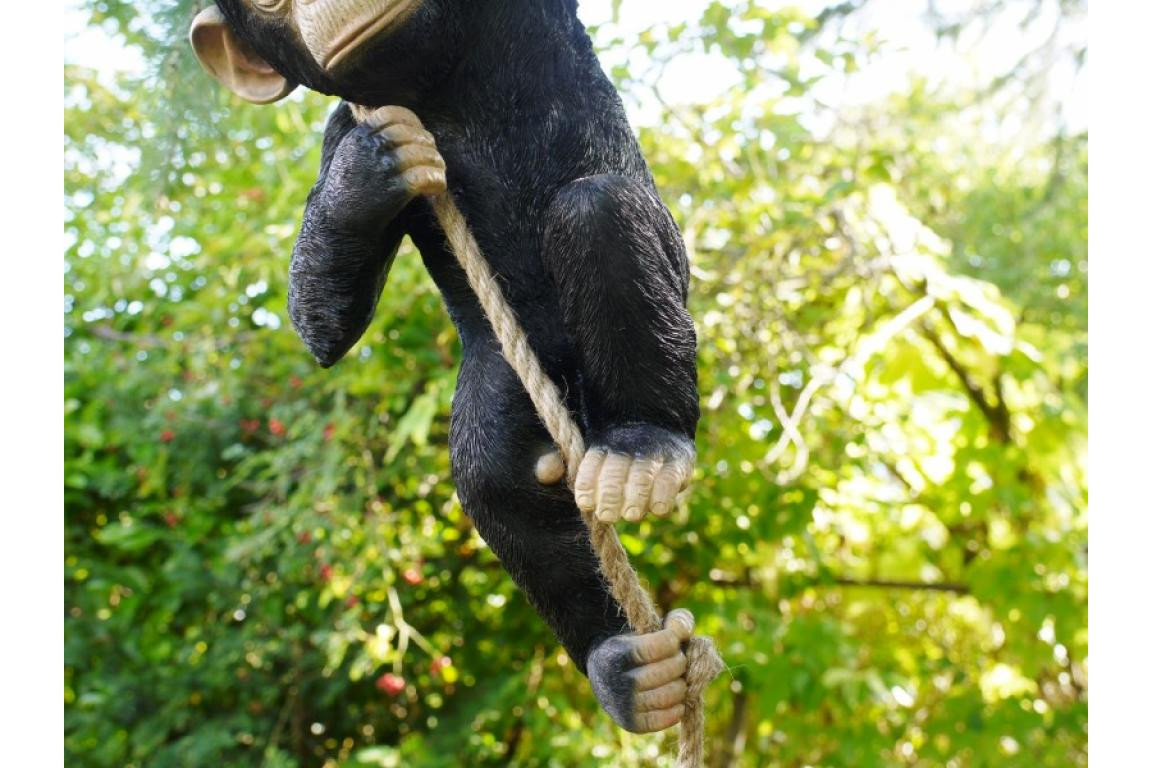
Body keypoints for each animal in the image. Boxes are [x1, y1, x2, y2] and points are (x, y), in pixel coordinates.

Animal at [191, 0, 701, 734]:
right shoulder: (345, 125)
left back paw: (645, 447)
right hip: (503, 374)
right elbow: (322, 328)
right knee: (496, 485)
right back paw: (626, 669)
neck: (439, 79)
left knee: (598, 208)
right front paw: (367, 172)